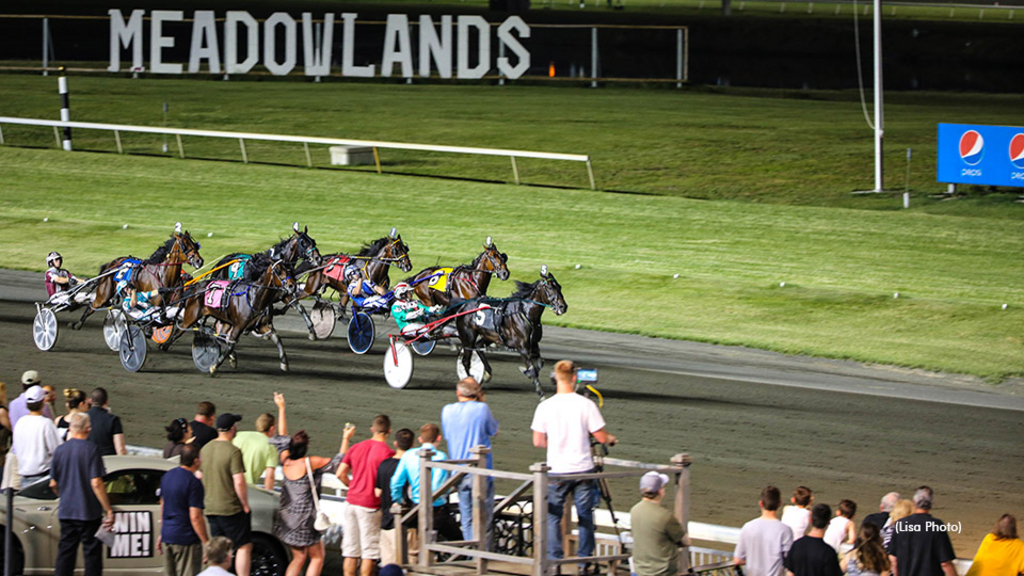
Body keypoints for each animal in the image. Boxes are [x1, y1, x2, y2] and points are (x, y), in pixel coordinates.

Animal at [71, 225, 203, 332]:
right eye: (184, 245)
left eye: (195, 244)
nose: (199, 261)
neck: (164, 276)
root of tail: (111, 263)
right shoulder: (154, 303)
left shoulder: (174, 303)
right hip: (104, 294)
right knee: (92, 305)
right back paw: (78, 324)